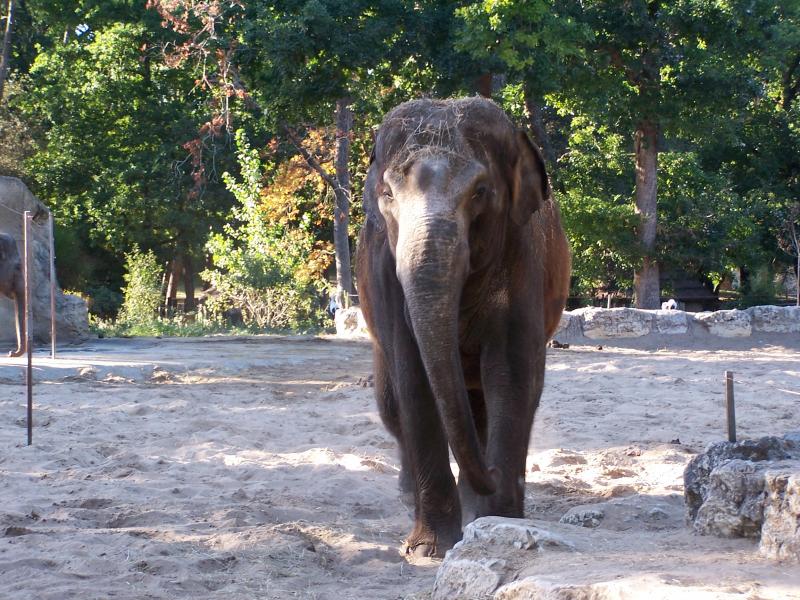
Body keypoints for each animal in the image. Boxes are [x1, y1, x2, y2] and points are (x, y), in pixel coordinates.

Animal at [354, 97, 568, 556]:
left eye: (480, 192)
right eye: (387, 194)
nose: (493, 474)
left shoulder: (522, 259)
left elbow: (511, 374)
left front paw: (499, 521)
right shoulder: (386, 274)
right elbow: (414, 379)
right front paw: (427, 549)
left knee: (482, 402)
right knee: (391, 405)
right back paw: (410, 497)